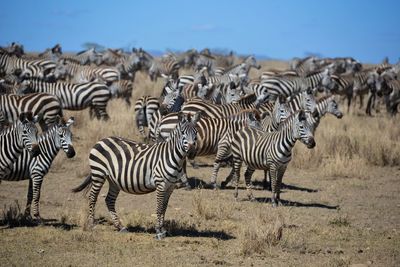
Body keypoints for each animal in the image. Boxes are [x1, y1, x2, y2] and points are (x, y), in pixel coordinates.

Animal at [72, 112, 200, 240]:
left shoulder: (170, 187)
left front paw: (163, 230)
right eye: (183, 133)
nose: (192, 150)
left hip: (113, 180)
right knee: (93, 197)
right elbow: (159, 208)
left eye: (196, 133)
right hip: (98, 173)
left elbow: (164, 207)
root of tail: (102, 140)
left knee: (109, 200)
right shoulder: (160, 184)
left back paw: (120, 226)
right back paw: (91, 224)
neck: (172, 157)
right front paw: (158, 231)